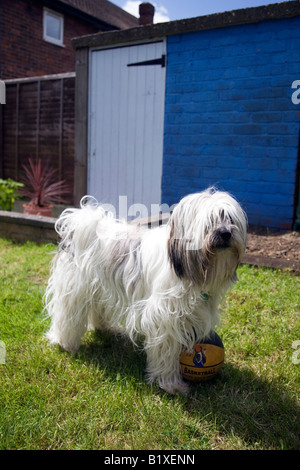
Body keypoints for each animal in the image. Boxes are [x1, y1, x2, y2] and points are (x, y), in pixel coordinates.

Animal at [44, 189, 246, 394]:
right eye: (210, 220)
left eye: (230, 218)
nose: (226, 233)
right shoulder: (164, 317)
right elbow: (166, 351)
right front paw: (170, 383)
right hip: (74, 289)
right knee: (67, 315)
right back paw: (65, 342)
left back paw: (104, 327)